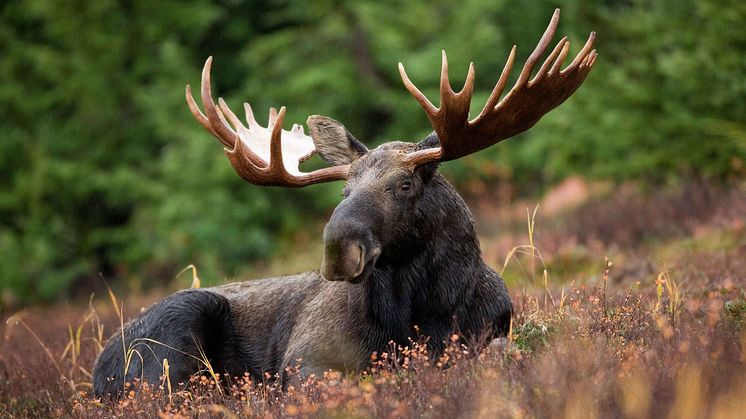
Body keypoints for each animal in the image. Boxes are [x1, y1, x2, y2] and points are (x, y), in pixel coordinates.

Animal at [93, 8, 596, 398]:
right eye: (344, 191)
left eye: (404, 184)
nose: (338, 249)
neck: (426, 312)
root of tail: (98, 371)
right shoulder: (306, 358)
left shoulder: (492, 333)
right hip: (173, 338)